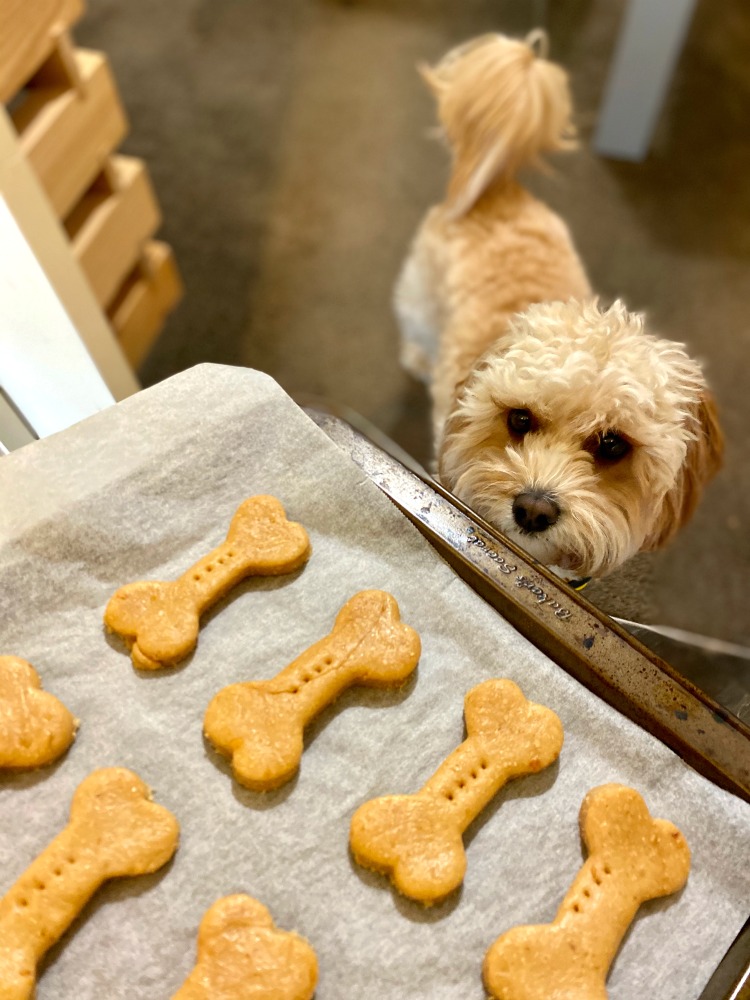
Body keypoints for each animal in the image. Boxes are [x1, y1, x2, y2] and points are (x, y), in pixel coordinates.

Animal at [396, 31, 724, 584]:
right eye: (519, 419)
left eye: (612, 445)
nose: (533, 510)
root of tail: (498, 185)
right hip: (419, 297)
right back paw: (420, 358)